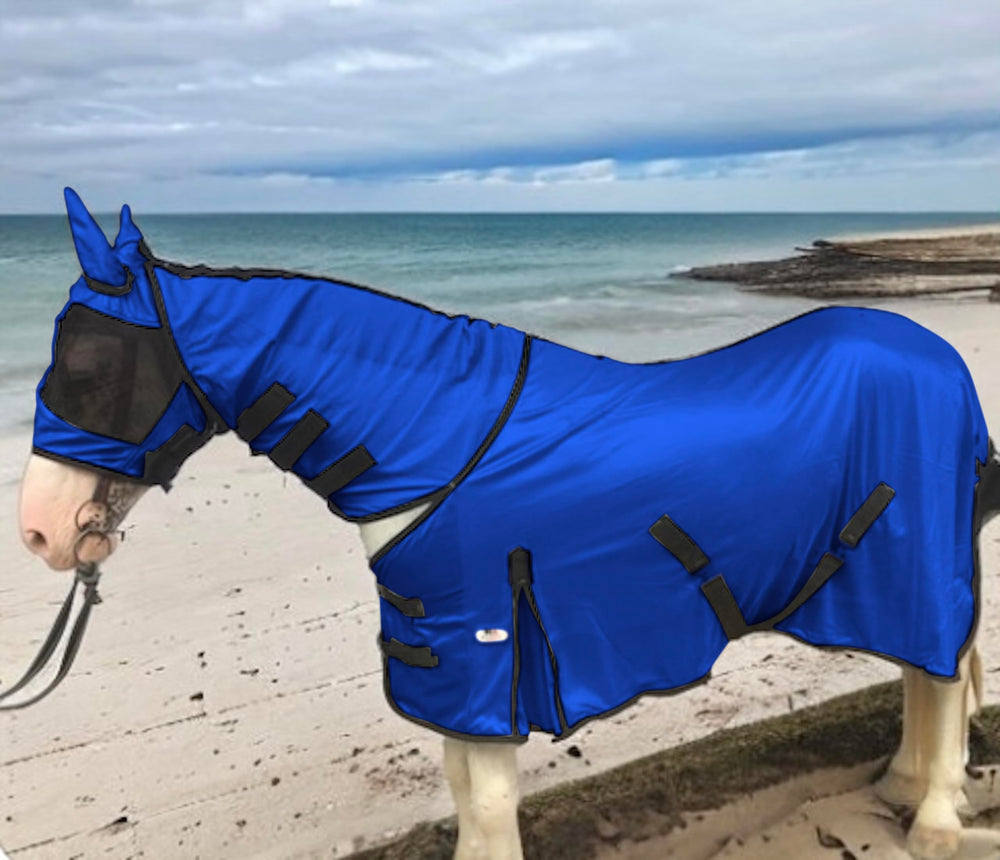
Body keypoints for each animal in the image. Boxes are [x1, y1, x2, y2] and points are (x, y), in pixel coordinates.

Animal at [14, 188, 1000, 860]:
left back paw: (934, 818)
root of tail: (934, 353)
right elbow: (464, 794)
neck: (438, 446)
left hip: (916, 567)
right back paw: (906, 783)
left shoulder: (489, 649)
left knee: (941, 671)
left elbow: (486, 805)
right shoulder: (453, 668)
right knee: (929, 675)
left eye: (92, 369)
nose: (40, 533)